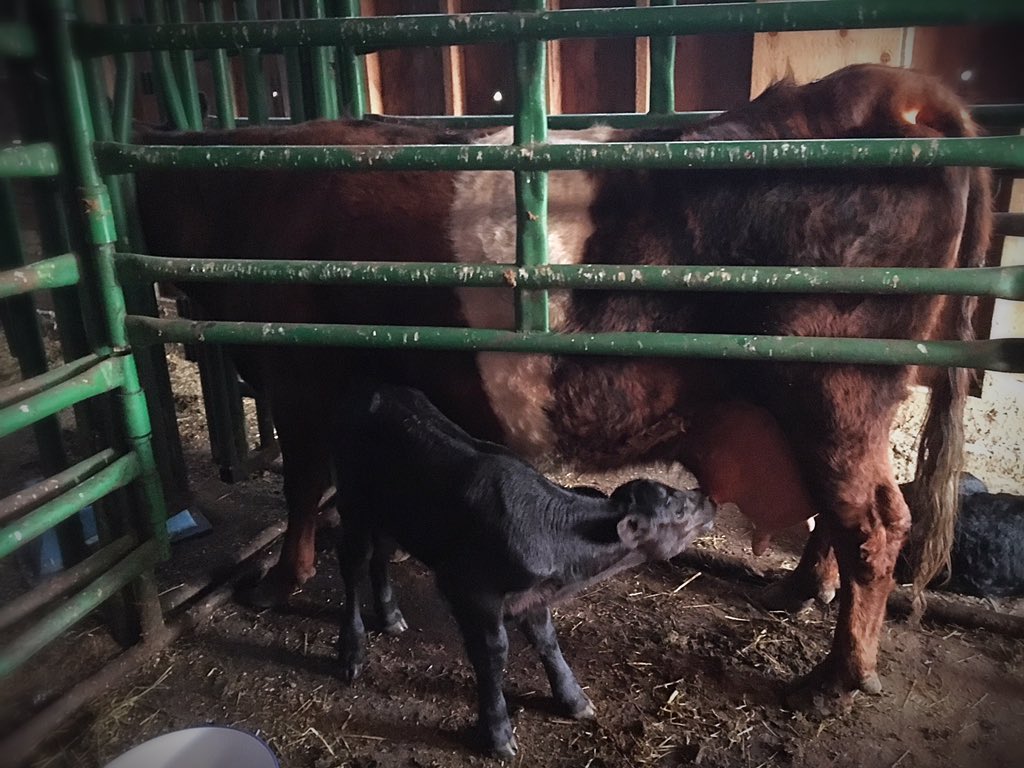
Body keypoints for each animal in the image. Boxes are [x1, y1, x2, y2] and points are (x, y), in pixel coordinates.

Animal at [134, 63, 992, 705]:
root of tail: (880, 91)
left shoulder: (297, 368)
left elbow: (304, 485)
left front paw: (278, 583)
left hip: (832, 386)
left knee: (874, 522)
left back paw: (836, 675)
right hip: (832, 404)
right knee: (843, 515)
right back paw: (800, 592)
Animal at [331, 383, 716, 757]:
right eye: (678, 510)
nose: (709, 498)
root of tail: (372, 389)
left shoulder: (534, 594)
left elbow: (547, 640)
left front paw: (573, 699)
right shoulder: (471, 590)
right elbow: (493, 653)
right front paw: (498, 732)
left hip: (394, 514)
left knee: (380, 556)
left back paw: (390, 616)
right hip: (353, 504)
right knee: (353, 566)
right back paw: (352, 652)